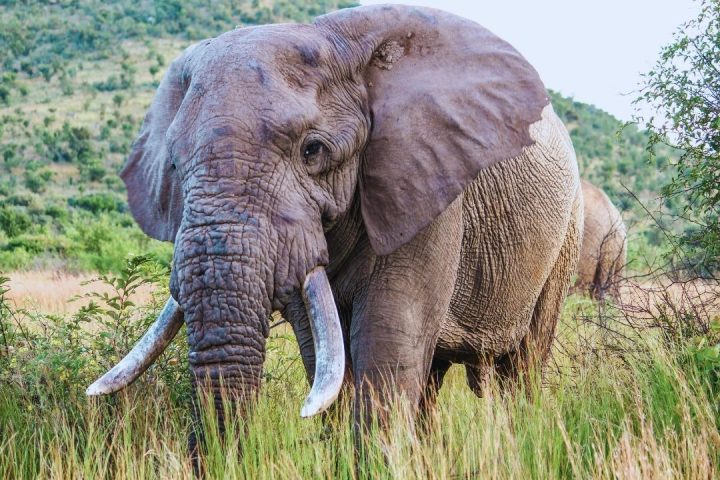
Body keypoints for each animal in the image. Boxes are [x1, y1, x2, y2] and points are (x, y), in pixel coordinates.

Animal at [86, 4, 582, 457]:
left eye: (313, 150)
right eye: (173, 165)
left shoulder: (425, 187)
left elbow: (388, 335)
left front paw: (376, 461)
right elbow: (321, 349)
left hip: (566, 236)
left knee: (523, 365)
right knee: (433, 375)